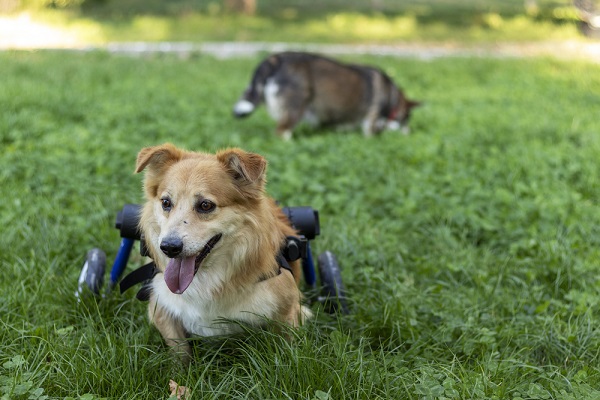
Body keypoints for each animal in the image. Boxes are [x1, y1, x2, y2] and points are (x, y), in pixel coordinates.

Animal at [232, 51, 420, 140]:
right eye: (407, 118)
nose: (410, 132)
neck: (392, 98)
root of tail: (276, 58)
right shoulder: (371, 119)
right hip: (297, 108)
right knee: (282, 131)